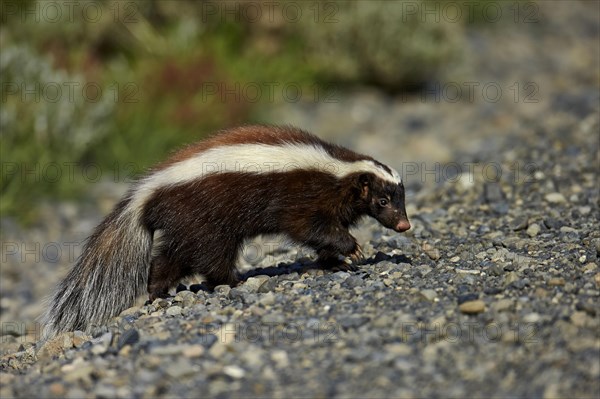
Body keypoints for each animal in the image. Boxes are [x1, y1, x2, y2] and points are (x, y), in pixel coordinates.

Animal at [41, 125, 408, 338]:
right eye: (383, 200)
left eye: (401, 200)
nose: (404, 224)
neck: (340, 171)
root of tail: (147, 192)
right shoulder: (305, 197)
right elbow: (311, 227)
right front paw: (352, 249)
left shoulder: (332, 203)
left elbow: (327, 232)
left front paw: (336, 261)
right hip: (204, 217)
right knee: (210, 254)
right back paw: (233, 280)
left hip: (186, 224)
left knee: (170, 259)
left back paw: (158, 291)